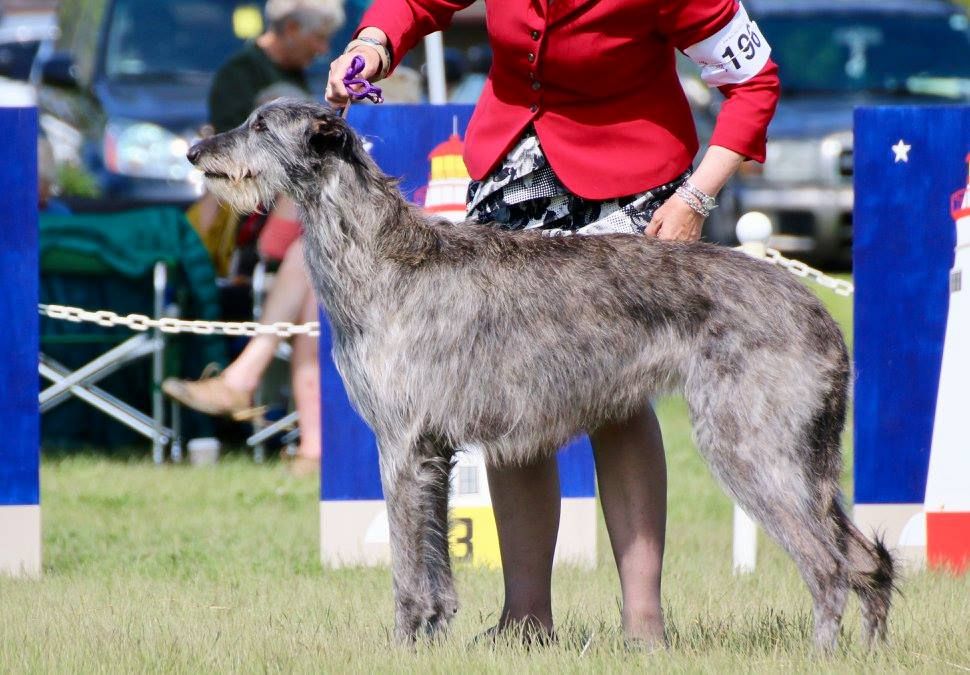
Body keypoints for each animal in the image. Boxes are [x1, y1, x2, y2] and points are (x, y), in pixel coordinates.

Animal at [187, 99, 892, 648]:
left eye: (259, 124)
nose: (194, 150)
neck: (383, 253)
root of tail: (820, 312)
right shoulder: (432, 451)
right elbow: (437, 561)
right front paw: (436, 635)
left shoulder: (403, 444)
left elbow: (408, 566)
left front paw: (404, 643)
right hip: (801, 455)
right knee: (867, 559)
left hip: (749, 444)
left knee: (830, 566)